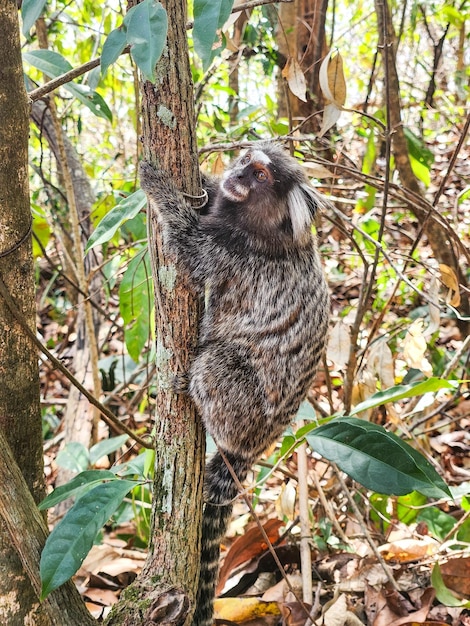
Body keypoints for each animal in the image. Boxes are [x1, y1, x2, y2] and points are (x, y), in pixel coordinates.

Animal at [139, 143, 330, 624]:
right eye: (245, 159)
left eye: (260, 175)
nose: (239, 174)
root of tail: (252, 446)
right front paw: (206, 182)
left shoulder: (230, 252)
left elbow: (186, 245)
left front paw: (156, 184)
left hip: (240, 406)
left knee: (216, 365)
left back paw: (188, 387)